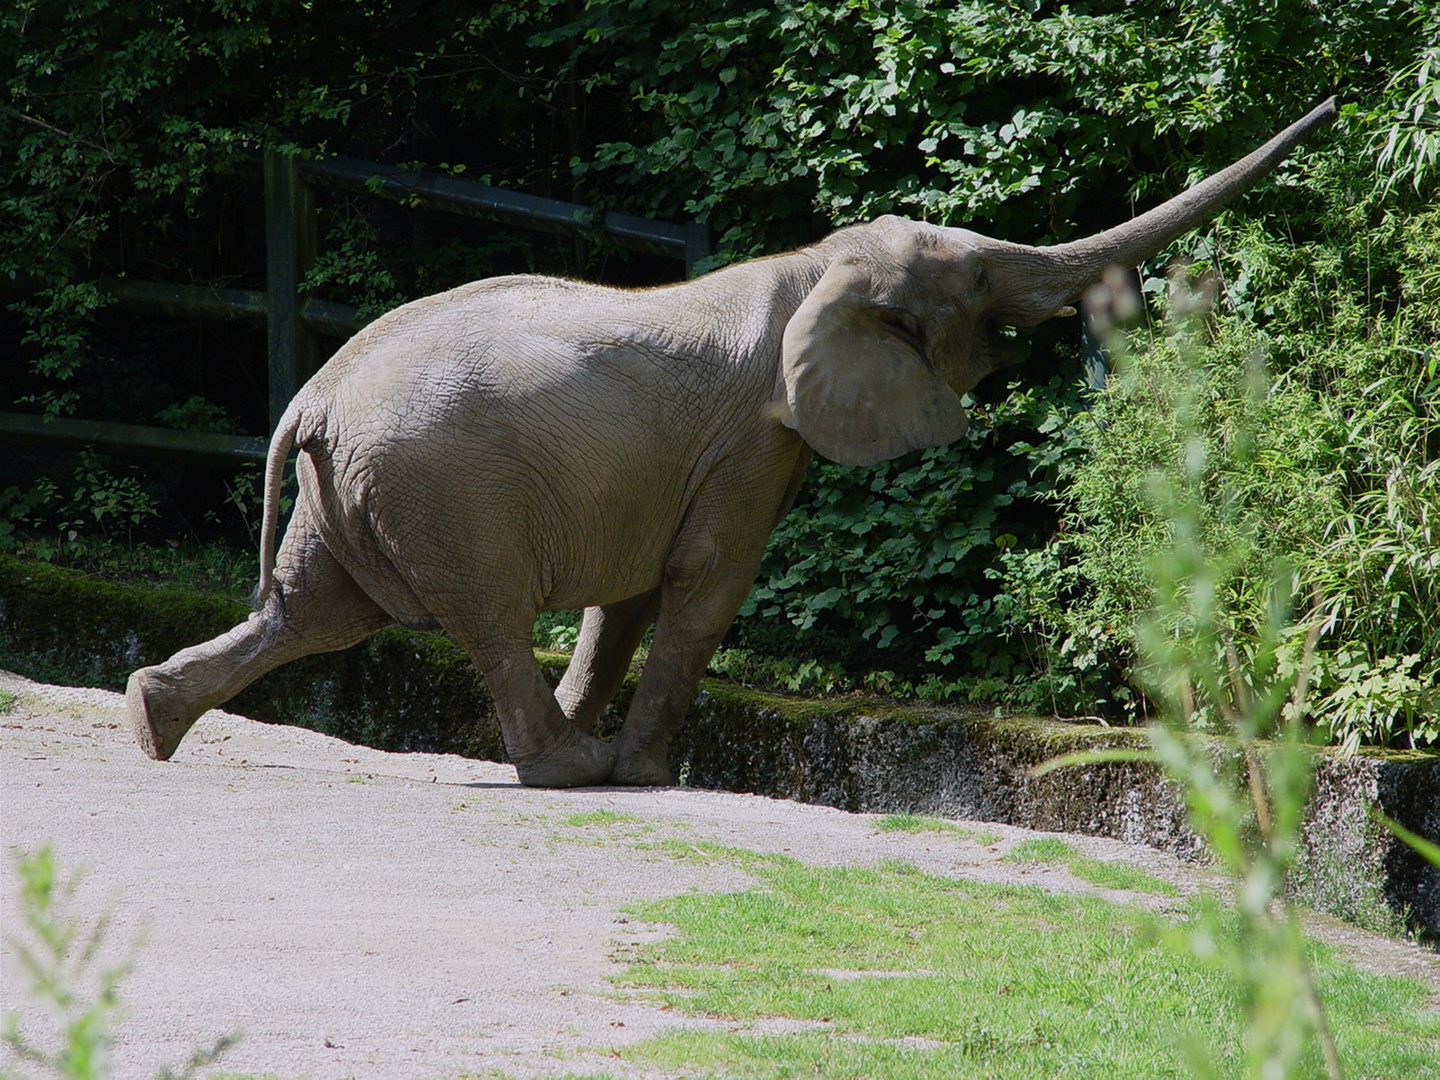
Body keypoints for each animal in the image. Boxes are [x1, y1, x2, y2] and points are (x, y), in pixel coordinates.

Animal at [126, 99, 1336, 789]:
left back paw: (150, 719)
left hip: (361, 489)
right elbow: (708, 586)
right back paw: (564, 771)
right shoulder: (755, 442)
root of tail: (311, 398)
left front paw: (622, 753)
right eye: (981, 280)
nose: (1115, 307)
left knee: (310, 614)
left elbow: (627, 604)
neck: (813, 266)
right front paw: (643, 773)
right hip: (439, 485)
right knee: (479, 614)